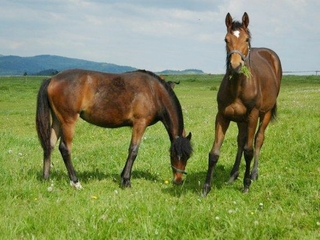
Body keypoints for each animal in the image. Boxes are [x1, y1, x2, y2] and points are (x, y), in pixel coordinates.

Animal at [37, 68, 192, 188]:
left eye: (188, 156)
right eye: (175, 155)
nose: (178, 181)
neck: (154, 92)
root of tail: (52, 79)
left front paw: (123, 176)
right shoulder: (140, 123)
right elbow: (133, 150)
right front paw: (126, 181)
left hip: (57, 120)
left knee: (49, 145)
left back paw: (46, 178)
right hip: (68, 121)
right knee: (64, 148)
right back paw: (75, 182)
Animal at [204, 12, 282, 195]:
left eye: (246, 39)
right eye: (226, 39)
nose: (235, 65)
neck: (238, 88)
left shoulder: (253, 115)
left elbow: (249, 151)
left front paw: (246, 185)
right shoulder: (222, 116)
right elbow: (214, 153)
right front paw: (206, 188)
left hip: (265, 113)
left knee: (258, 139)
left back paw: (253, 174)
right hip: (240, 120)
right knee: (241, 140)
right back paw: (233, 174)